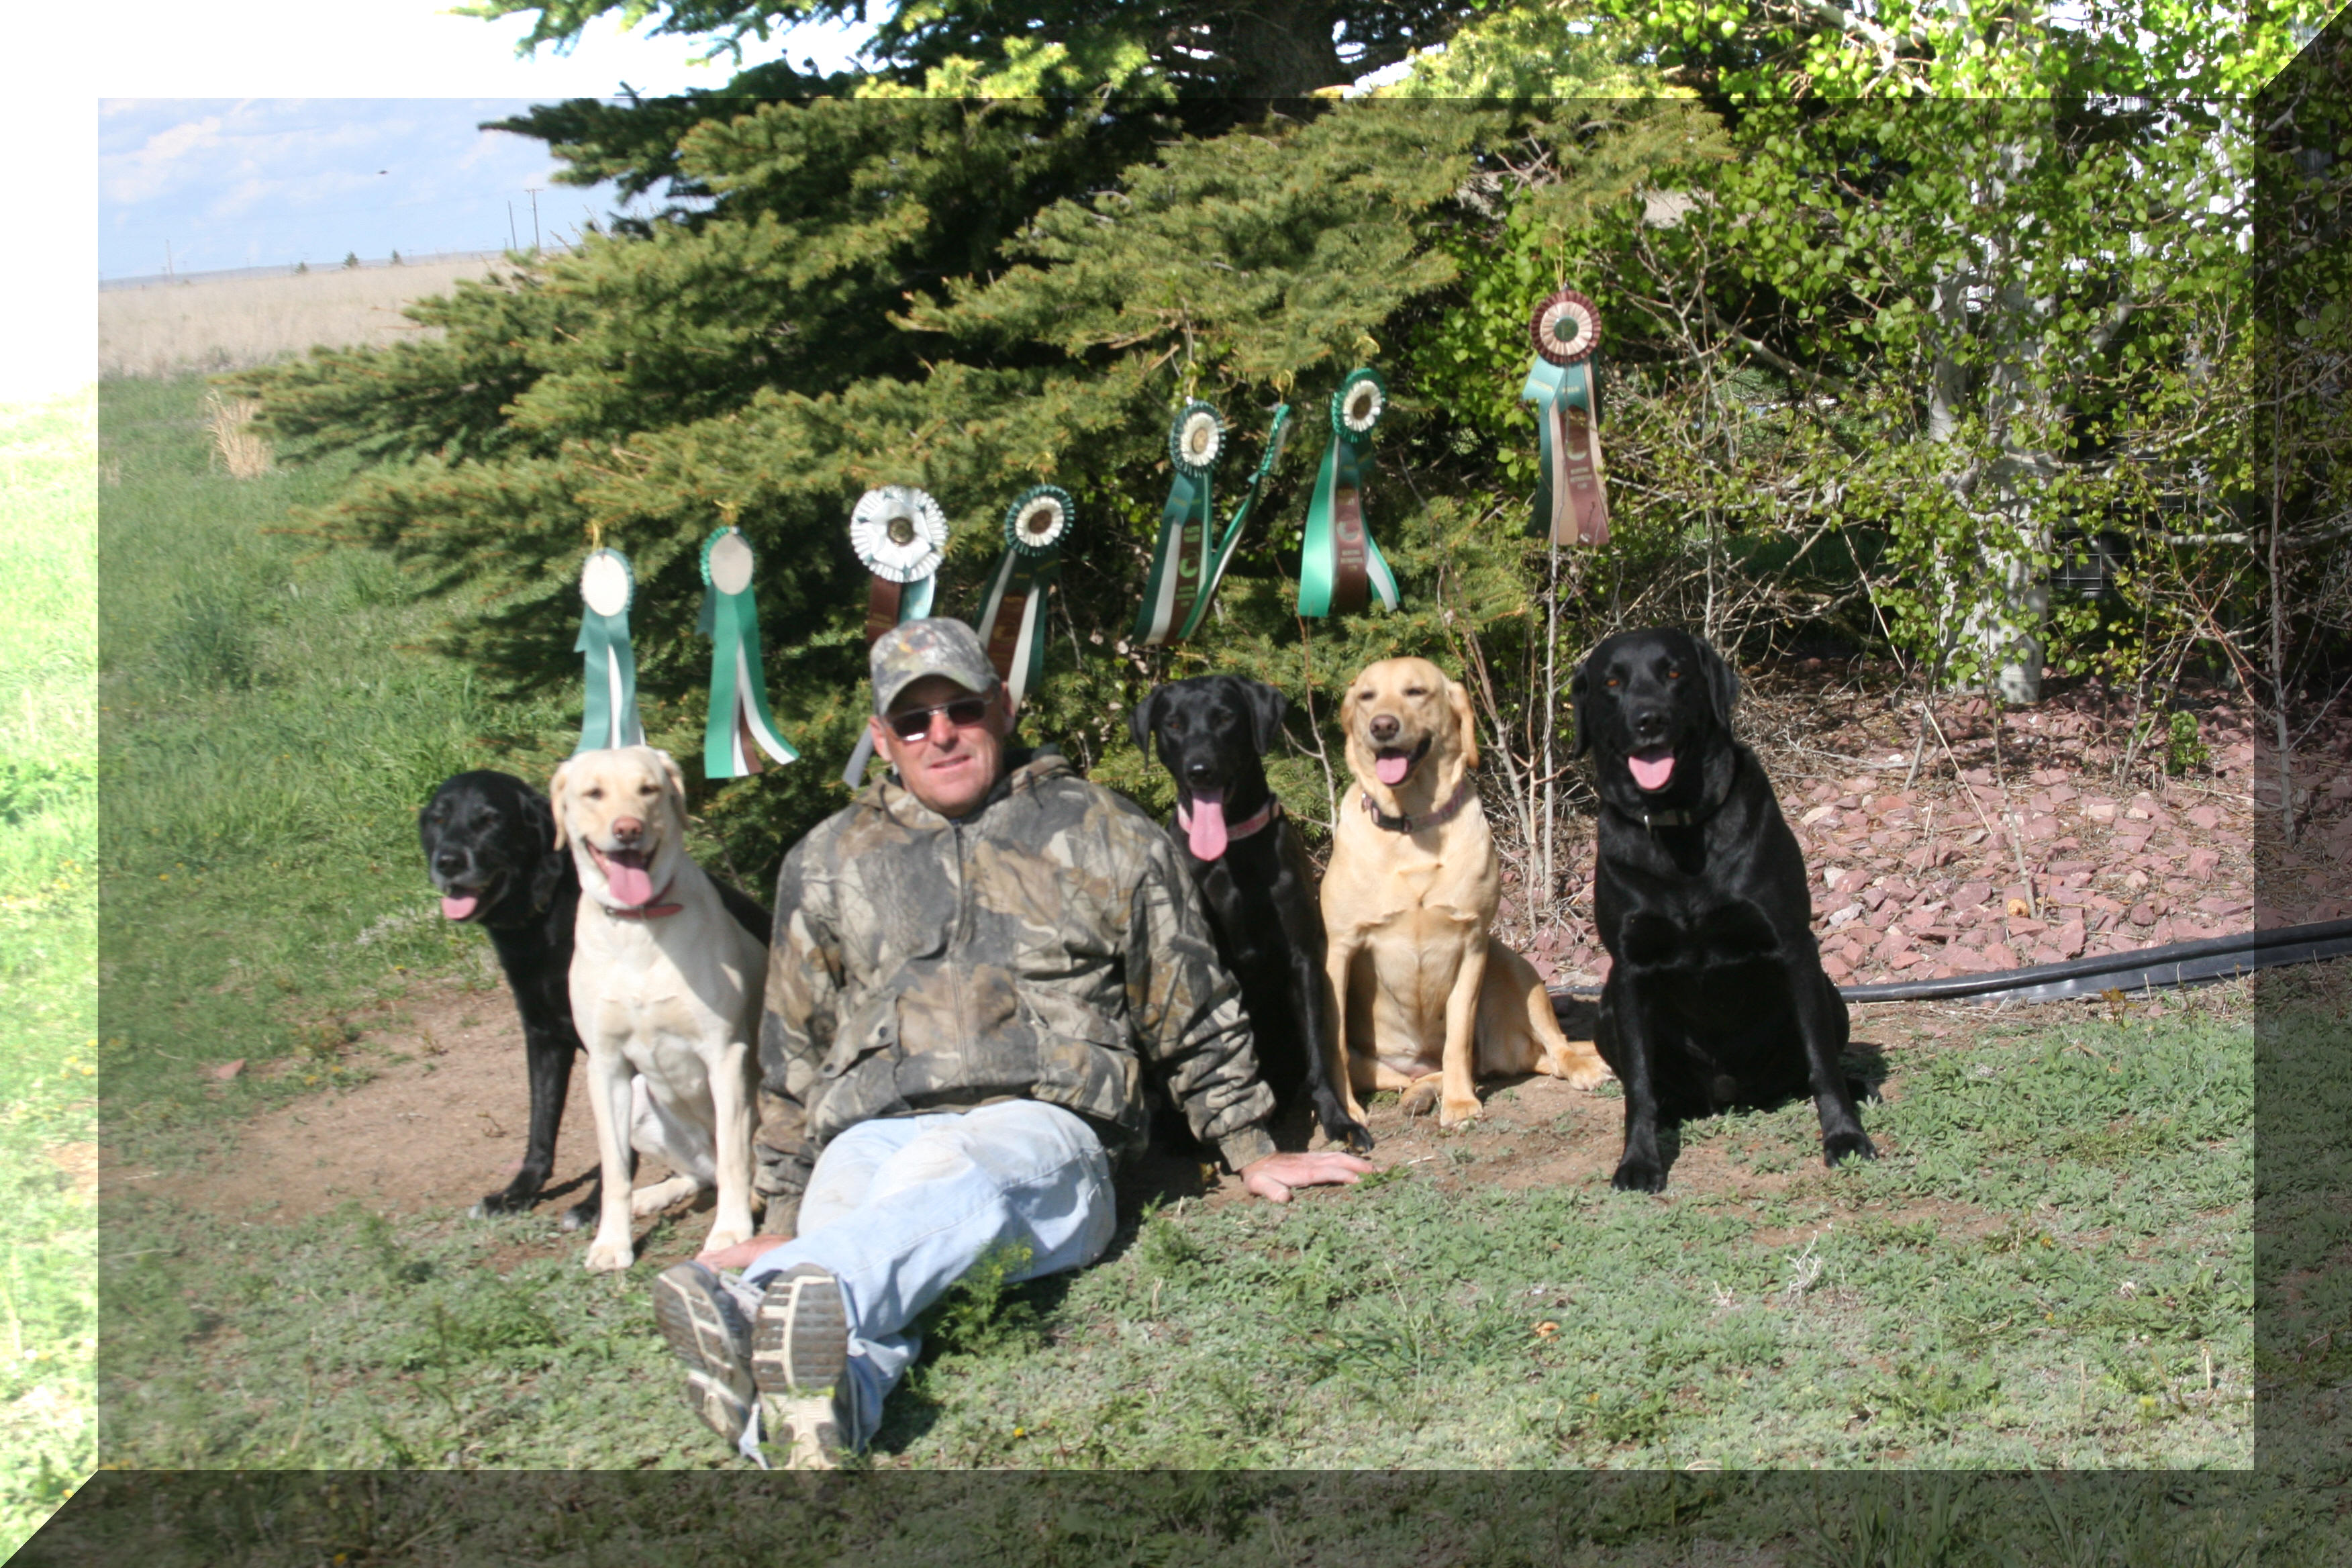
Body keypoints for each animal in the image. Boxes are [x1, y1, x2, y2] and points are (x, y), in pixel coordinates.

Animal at [548, 747, 762, 1279]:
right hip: (644, 1102)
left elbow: (735, 1159)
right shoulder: (605, 1066)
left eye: (648, 790)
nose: (628, 829)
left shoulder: (725, 1053)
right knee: (699, 1174)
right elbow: (614, 1170)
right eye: (593, 793)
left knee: (731, 1165)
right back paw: (656, 1195)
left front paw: (731, 1230)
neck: (638, 927)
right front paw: (612, 1241)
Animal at [1128, 677, 1373, 1152]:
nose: (1199, 770)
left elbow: (1318, 1052)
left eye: (1226, 718)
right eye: (1173, 724)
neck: (1231, 851)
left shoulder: (1302, 959)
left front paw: (1339, 1121)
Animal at [1326, 658, 1618, 1128]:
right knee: (1416, 1075)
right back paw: (1420, 1093)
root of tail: (1512, 1054)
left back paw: (1584, 1068)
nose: (1382, 726)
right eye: (1367, 696)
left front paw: (1461, 1103)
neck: (1413, 823)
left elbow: (1458, 1034)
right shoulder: (1340, 949)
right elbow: (1332, 1042)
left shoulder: (1474, 944)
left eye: (1416, 692)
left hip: (1516, 967)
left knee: (1555, 1050)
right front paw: (1346, 1115)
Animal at [1561, 625, 1872, 1189]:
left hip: (1832, 994)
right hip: (1605, 1013)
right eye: (1611, 682)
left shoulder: (1795, 947)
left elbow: (1821, 1061)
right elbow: (1638, 1086)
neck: (1679, 827)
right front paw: (1639, 1161)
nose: (1648, 719)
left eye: (1674, 672)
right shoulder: (1629, 969)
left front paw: (1845, 1136)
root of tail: (1729, 1094)